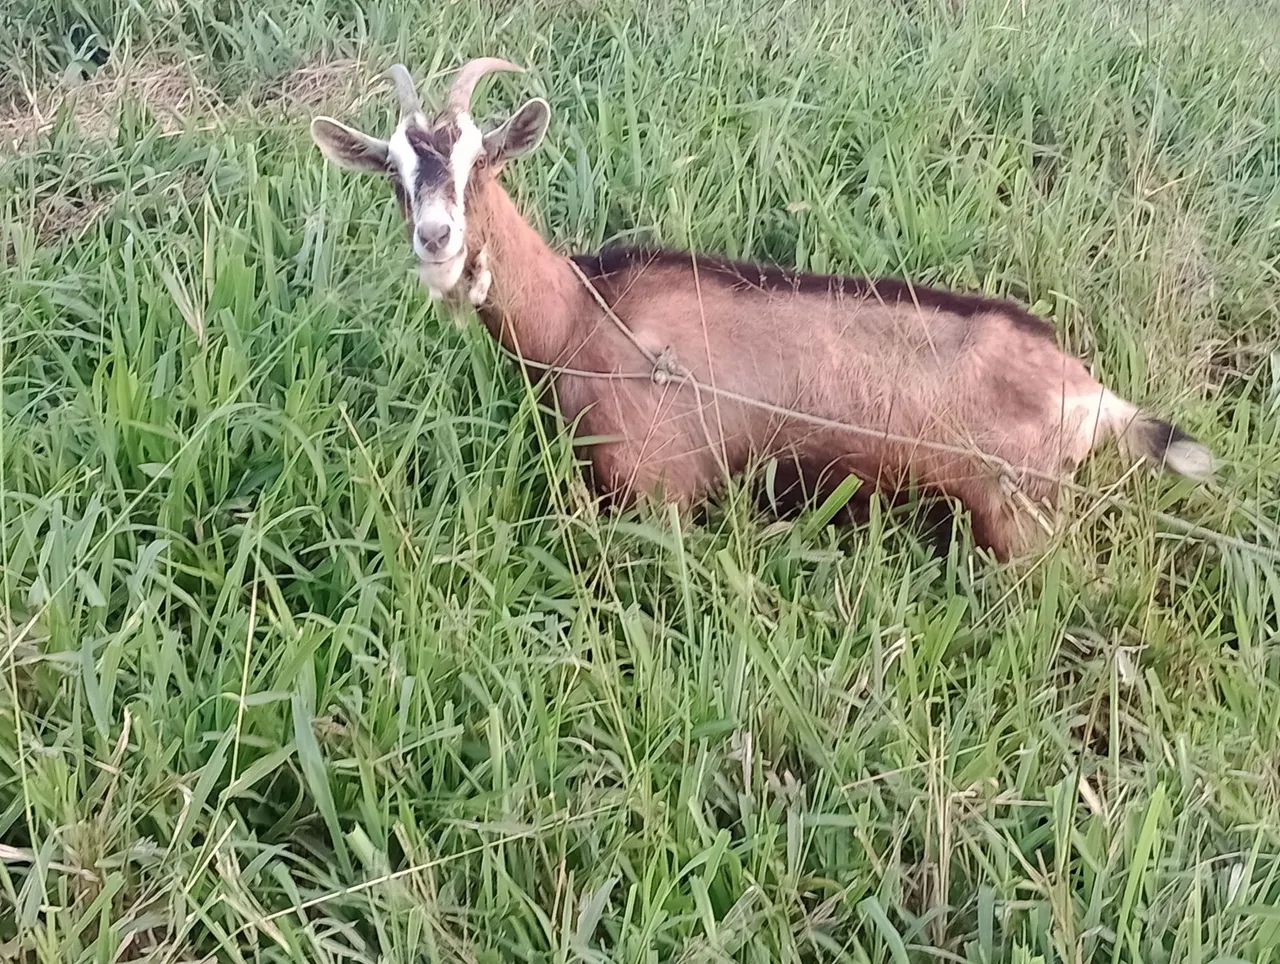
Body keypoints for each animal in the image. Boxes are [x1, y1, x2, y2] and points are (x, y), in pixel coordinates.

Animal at [311, 59, 1214, 560]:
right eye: (394, 173)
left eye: (481, 163)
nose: (437, 241)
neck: (585, 316)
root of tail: (1091, 393)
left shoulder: (659, 493)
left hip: (1020, 517)